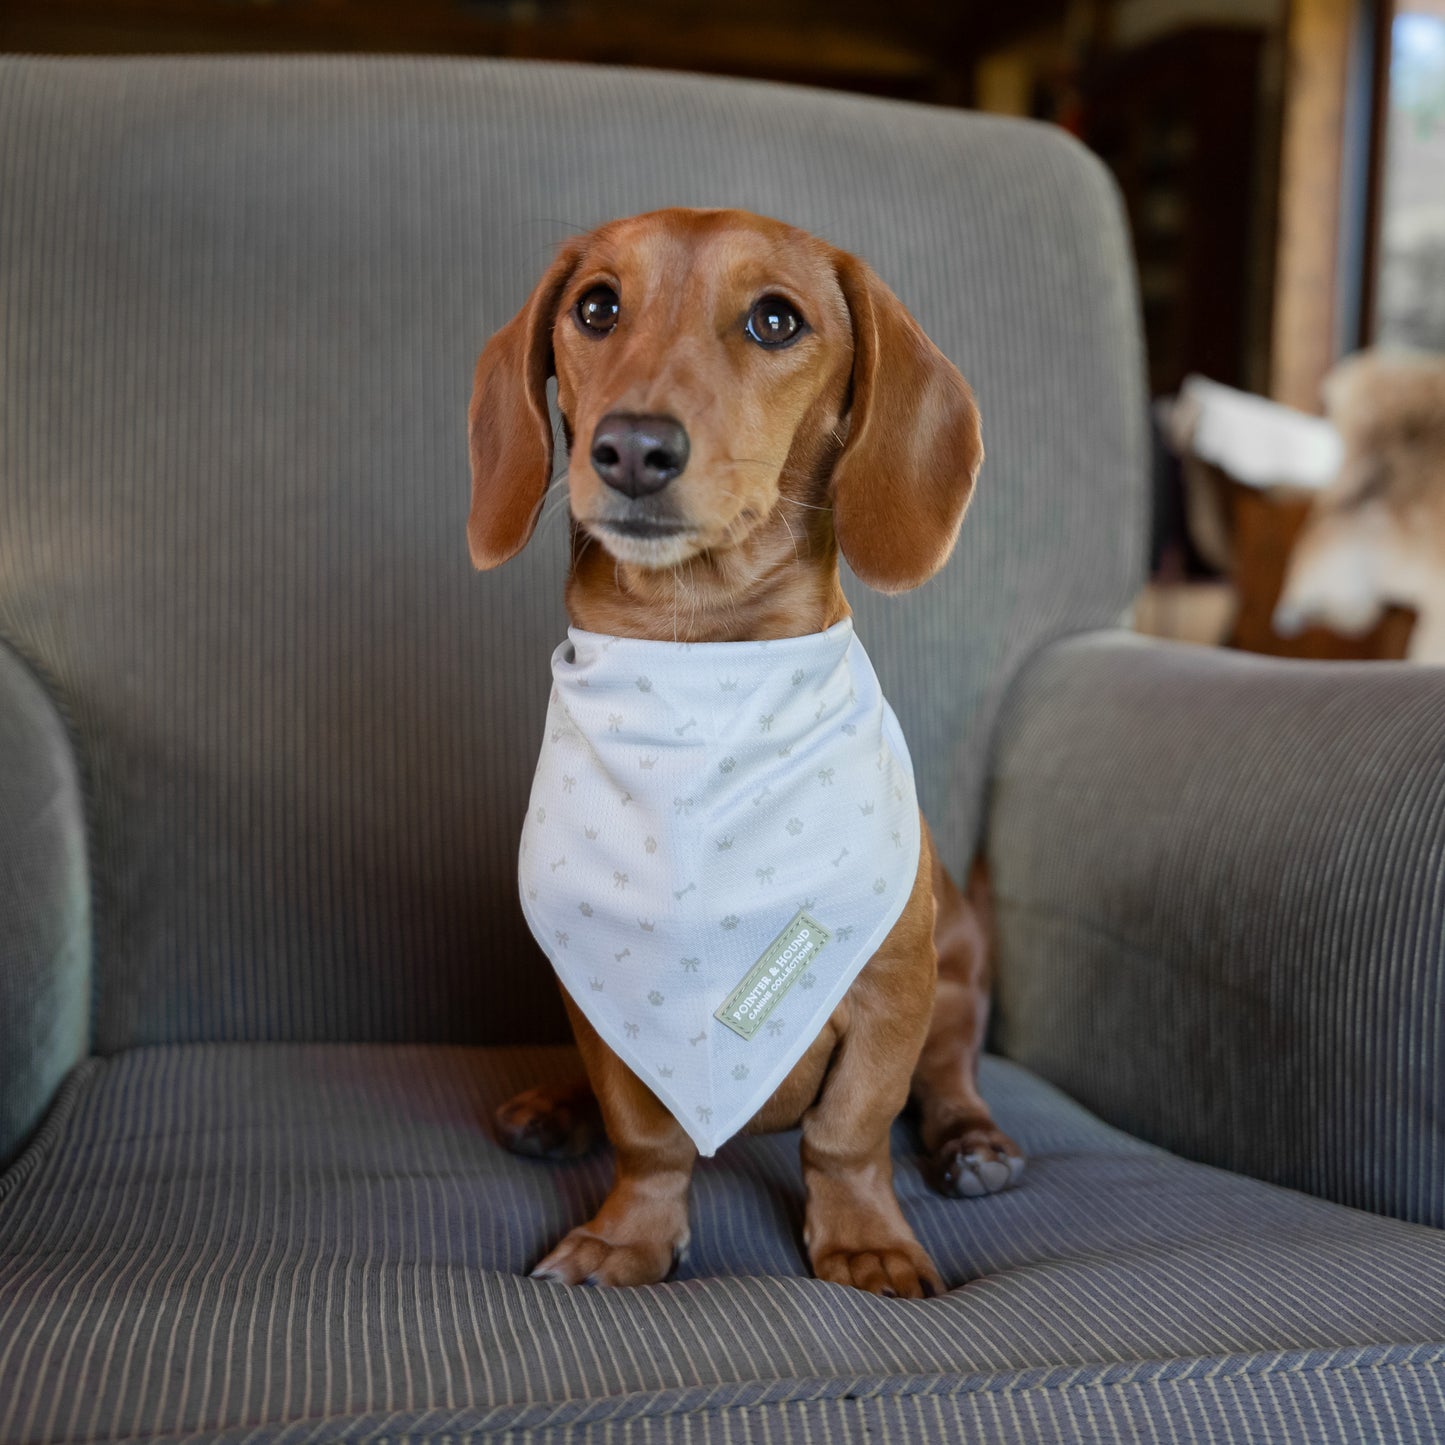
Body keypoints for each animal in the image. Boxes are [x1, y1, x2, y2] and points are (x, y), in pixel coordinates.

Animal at [468, 206, 1023, 1300]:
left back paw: (973, 1143)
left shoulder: (891, 991)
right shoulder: (602, 1003)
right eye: (595, 307)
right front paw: (627, 1238)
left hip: (958, 972)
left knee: (947, 1074)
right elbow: (645, 1136)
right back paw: (552, 1107)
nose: (631, 447)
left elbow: (849, 1131)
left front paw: (866, 1242)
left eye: (775, 319)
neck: (699, 671)